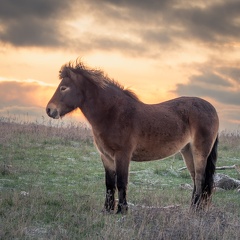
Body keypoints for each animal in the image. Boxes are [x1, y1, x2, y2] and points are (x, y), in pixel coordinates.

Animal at [46, 60, 218, 214]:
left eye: (63, 88)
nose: (49, 110)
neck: (113, 114)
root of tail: (211, 108)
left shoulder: (122, 155)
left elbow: (121, 182)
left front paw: (122, 210)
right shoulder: (106, 156)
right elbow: (109, 184)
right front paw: (107, 210)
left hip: (199, 151)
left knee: (200, 178)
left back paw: (195, 210)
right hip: (187, 151)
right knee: (195, 178)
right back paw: (192, 208)